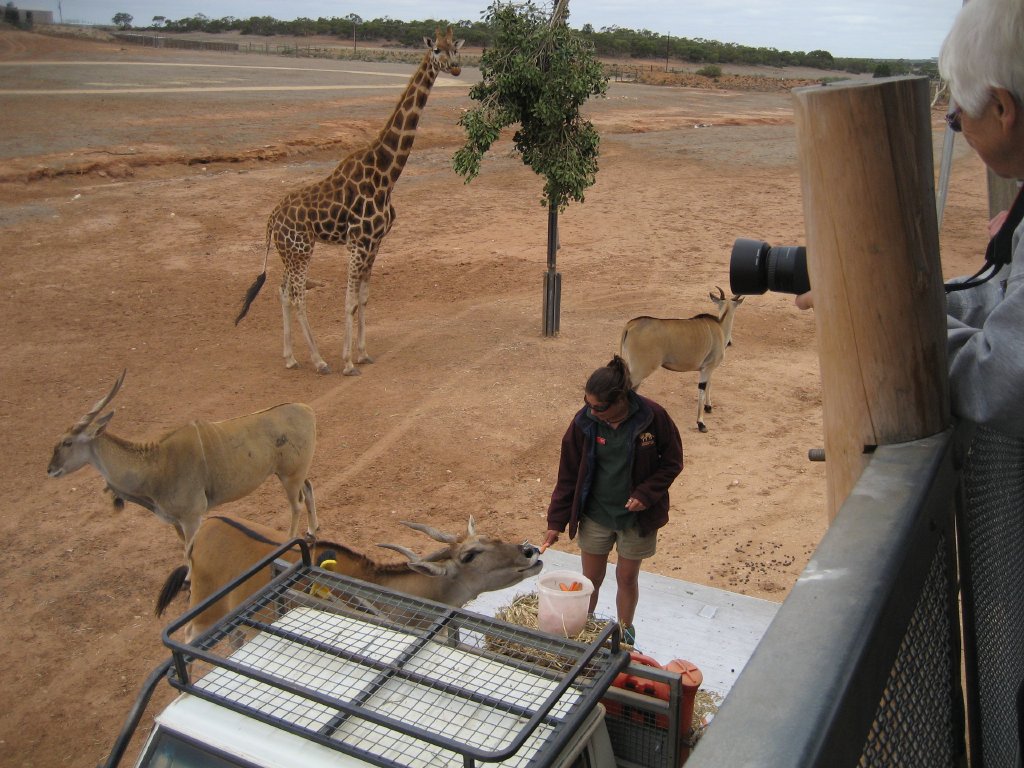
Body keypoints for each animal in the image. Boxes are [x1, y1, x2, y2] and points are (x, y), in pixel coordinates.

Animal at [235, 26, 465, 375]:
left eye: (455, 48)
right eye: (436, 49)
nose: (456, 68)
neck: (386, 174)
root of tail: (272, 218)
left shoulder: (375, 242)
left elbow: (364, 298)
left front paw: (363, 353)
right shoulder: (358, 242)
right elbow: (348, 300)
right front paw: (347, 362)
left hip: (290, 252)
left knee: (283, 291)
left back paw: (290, 357)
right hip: (302, 250)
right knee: (298, 295)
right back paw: (319, 361)